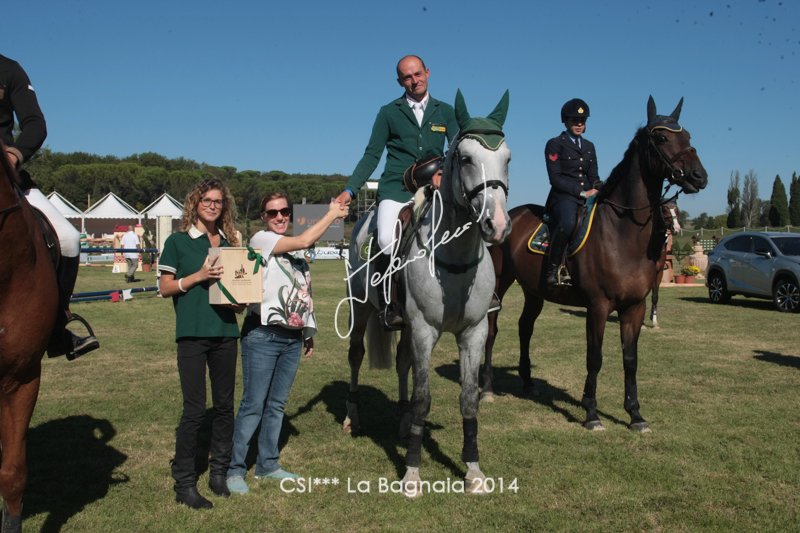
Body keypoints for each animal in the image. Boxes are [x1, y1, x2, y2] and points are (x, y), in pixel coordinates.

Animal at [339, 90, 511, 496]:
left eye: (508, 158)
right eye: (466, 158)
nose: (497, 225)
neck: (453, 260)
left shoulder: (473, 332)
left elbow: (468, 399)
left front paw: (473, 471)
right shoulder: (423, 330)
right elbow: (423, 399)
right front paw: (412, 474)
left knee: (403, 362)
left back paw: (402, 422)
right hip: (360, 309)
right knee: (356, 356)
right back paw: (353, 418)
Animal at [481, 96, 707, 432]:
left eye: (688, 136)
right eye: (662, 138)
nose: (698, 176)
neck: (622, 232)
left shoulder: (634, 307)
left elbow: (630, 360)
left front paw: (635, 414)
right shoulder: (598, 306)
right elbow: (595, 357)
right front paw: (591, 413)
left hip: (534, 291)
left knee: (525, 327)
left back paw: (528, 383)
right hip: (499, 282)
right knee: (492, 329)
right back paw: (486, 388)